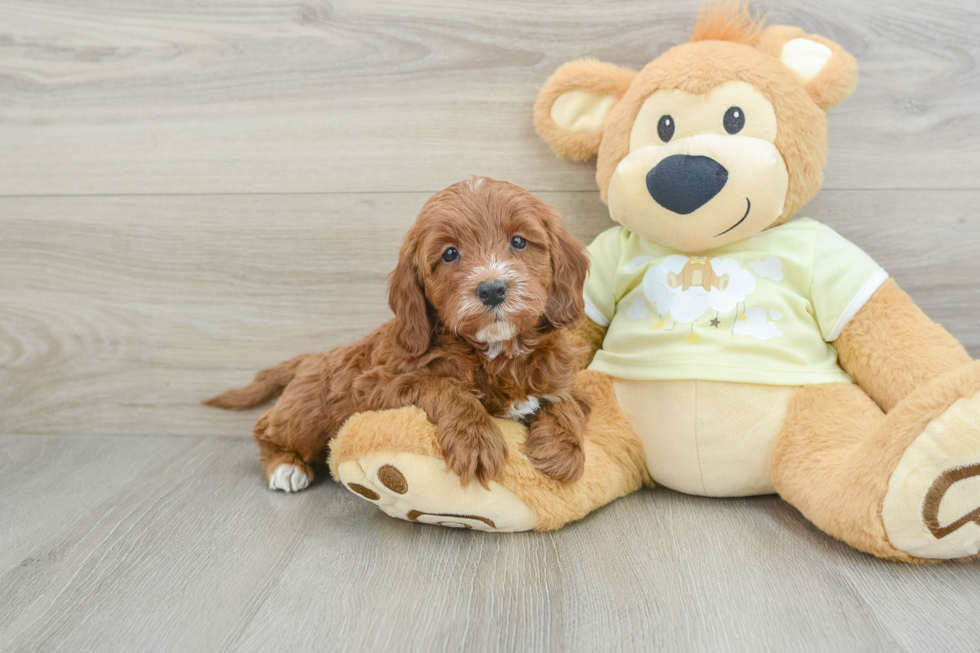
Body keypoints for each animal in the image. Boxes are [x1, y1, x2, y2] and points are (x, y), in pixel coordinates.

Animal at [204, 177, 588, 488]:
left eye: (519, 242)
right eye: (450, 253)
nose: (492, 289)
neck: (496, 349)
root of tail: (313, 357)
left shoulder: (561, 381)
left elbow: (567, 403)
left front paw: (563, 451)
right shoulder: (379, 385)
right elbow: (444, 387)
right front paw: (476, 442)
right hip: (307, 414)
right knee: (267, 426)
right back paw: (285, 466)